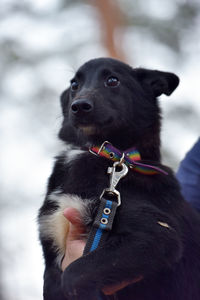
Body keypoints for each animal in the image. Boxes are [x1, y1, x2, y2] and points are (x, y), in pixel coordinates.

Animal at [38, 57, 200, 298]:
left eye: (113, 80)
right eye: (75, 84)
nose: (79, 106)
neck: (105, 154)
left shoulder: (158, 236)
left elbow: (75, 275)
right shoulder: (51, 256)